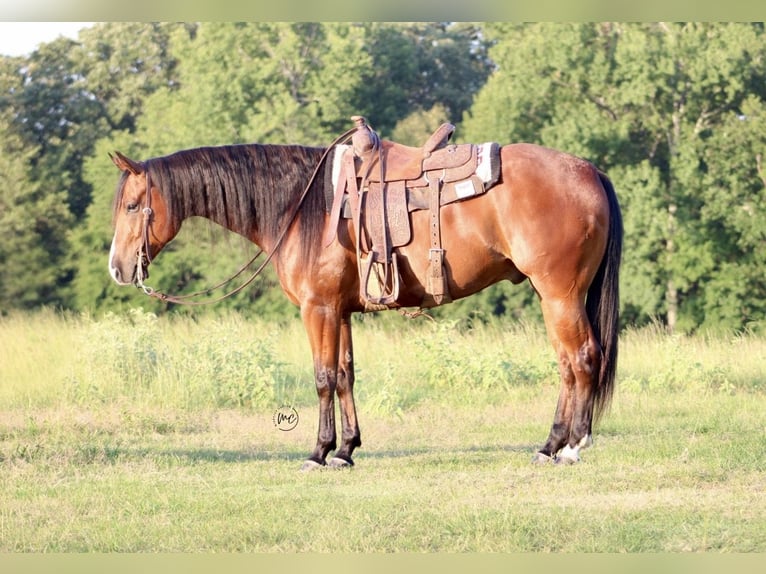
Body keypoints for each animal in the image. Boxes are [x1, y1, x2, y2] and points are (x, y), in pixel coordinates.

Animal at [107, 130, 622, 469]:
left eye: (132, 206)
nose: (117, 268)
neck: (304, 206)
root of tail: (589, 170)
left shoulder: (317, 309)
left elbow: (322, 378)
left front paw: (318, 452)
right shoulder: (341, 311)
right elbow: (345, 376)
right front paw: (346, 449)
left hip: (560, 295)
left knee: (582, 358)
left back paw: (572, 447)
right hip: (550, 296)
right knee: (566, 364)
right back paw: (549, 445)